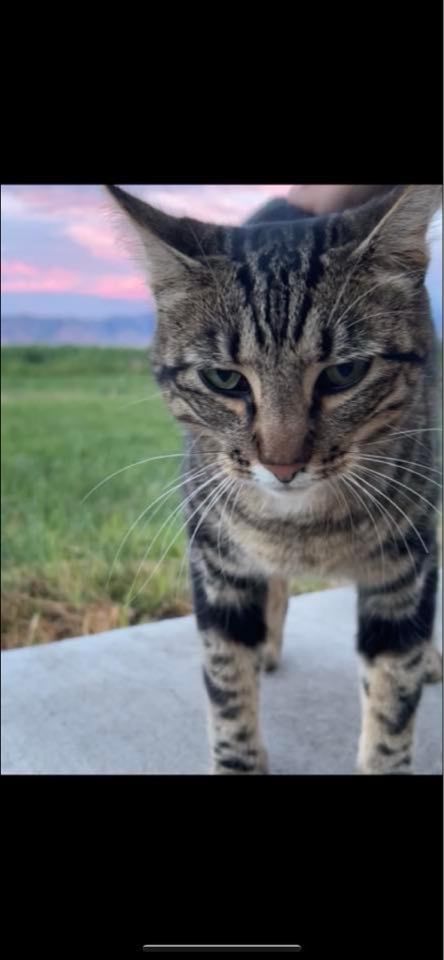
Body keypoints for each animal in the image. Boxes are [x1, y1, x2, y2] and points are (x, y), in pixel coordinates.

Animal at [106, 184, 442, 776]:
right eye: (224, 379)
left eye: (344, 373)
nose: (283, 464)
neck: (303, 526)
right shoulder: (215, 558)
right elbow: (226, 684)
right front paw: (237, 757)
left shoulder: (405, 567)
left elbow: (392, 700)